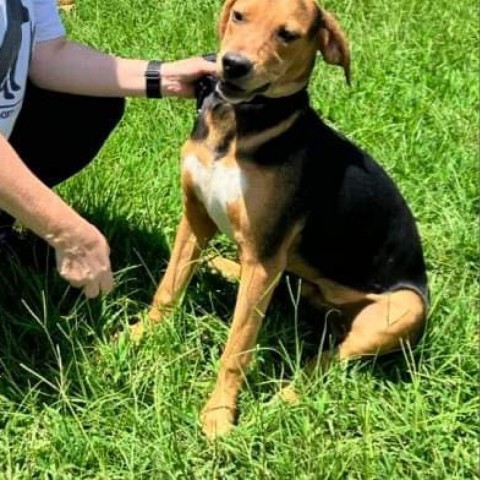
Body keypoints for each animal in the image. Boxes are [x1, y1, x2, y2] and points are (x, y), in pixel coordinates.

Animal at [130, 0, 428, 438]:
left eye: (287, 34)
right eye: (239, 15)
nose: (233, 65)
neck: (239, 127)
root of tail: (334, 312)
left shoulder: (264, 254)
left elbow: (237, 348)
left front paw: (219, 414)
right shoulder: (195, 217)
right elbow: (167, 289)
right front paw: (135, 336)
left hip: (405, 307)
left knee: (328, 361)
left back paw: (281, 401)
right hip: (287, 277)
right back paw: (219, 265)